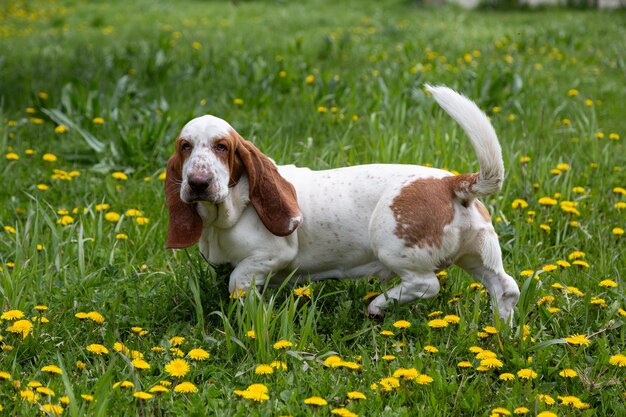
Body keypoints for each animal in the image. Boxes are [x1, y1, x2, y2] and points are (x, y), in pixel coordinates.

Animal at [163, 83, 520, 318]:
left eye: (222, 147)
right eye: (185, 147)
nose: (198, 183)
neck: (230, 211)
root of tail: (451, 183)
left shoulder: (270, 256)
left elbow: (238, 281)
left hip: (391, 245)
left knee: (426, 284)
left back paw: (378, 305)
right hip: (477, 255)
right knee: (506, 287)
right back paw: (501, 332)